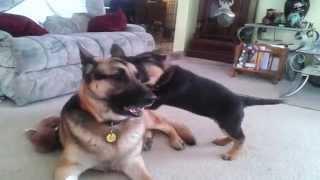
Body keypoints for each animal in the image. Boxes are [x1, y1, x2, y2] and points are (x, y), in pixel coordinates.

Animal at [110, 44, 282, 161]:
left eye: (143, 61)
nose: (125, 60)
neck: (167, 76)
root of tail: (241, 99)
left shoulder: (156, 101)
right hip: (226, 122)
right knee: (236, 136)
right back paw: (223, 141)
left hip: (229, 122)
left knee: (241, 138)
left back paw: (230, 155)